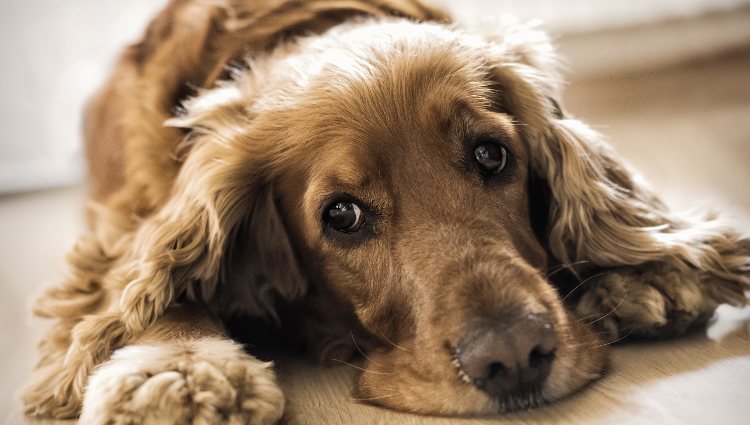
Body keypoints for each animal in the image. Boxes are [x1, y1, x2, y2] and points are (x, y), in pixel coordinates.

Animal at [20, 1, 748, 422]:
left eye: (492, 155)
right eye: (341, 215)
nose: (514, 356)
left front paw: (648, 276)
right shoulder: (118, 223)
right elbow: (145, 287)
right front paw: (176, 369)